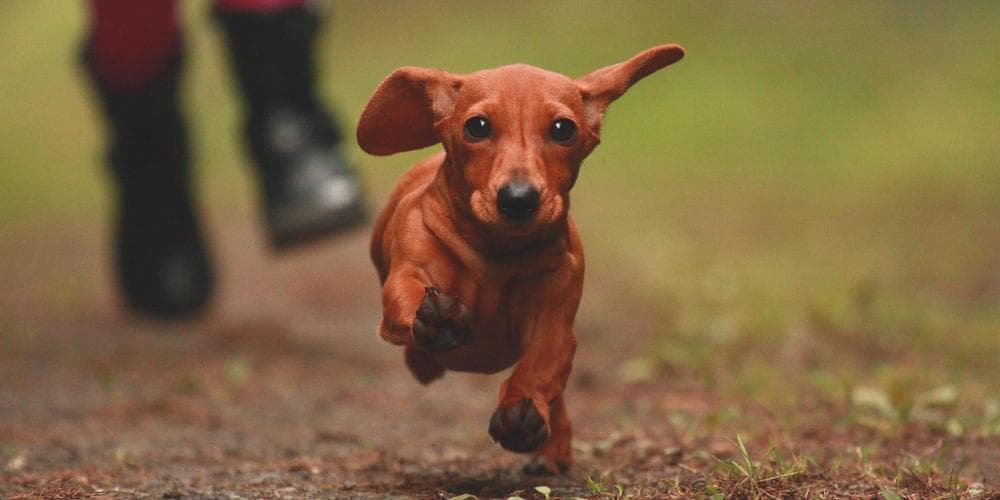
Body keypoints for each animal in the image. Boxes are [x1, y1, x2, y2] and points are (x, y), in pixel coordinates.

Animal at [356, 45, 684, 474]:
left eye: (563, 129)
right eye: (477, 126)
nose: (518, 199)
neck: (496, 252)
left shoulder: (554, 323)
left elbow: (539, 367)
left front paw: (519, 414)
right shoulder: (411, 267)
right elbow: (406, 296)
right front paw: (438, 319)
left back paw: (551, 448)